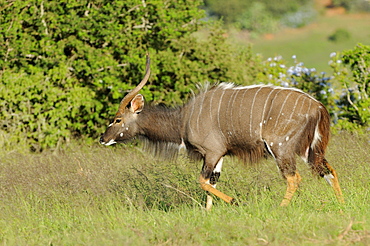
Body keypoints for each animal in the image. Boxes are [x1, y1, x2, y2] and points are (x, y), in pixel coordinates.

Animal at [100, 54, 344, 209]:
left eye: (117, 119)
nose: (103, 139)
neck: (182, 120)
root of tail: (318, 107)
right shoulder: (219, 157)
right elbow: (211, 182)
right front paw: (209, 213)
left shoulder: (212, 153)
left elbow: (202, 181)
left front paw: (234, 201)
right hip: (308, 150)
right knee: (329, 170)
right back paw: (341, 205)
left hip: (281, 148)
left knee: (294, 178)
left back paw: (280, 208)